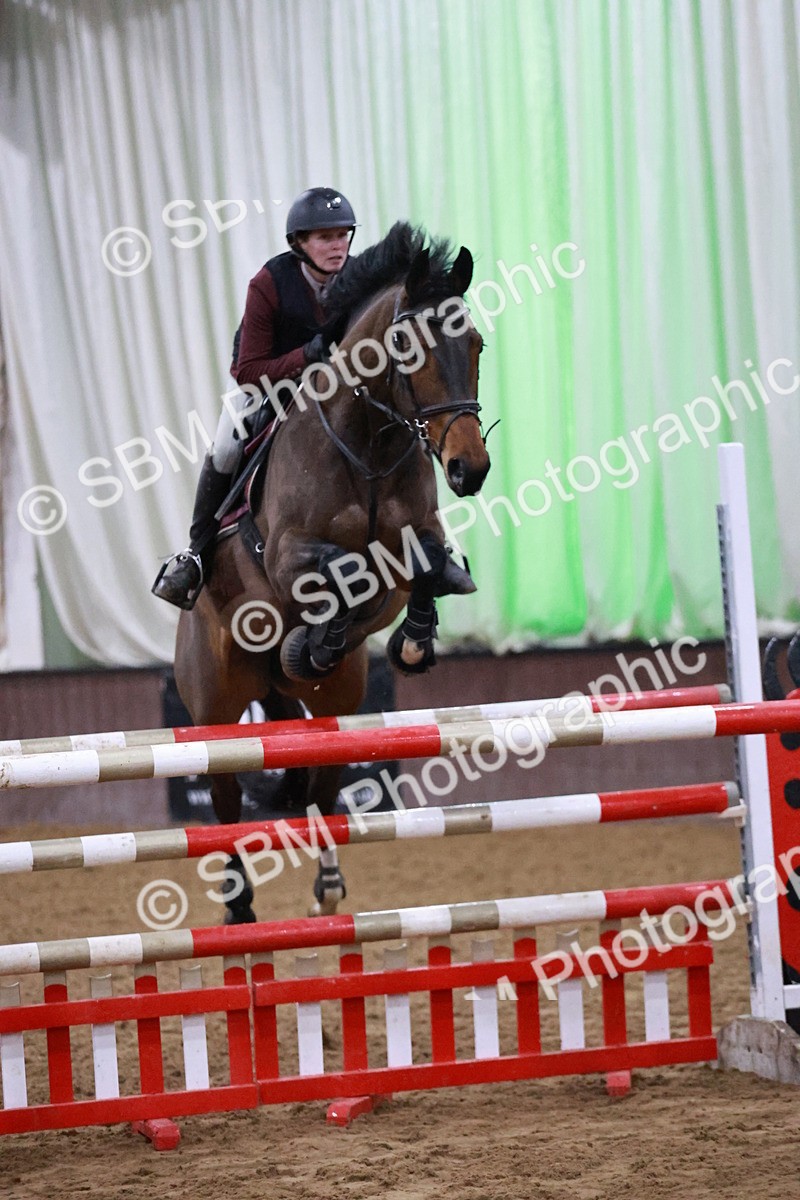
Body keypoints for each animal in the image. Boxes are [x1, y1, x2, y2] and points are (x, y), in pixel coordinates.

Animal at [174, 222, 492, 922]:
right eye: (406, 345)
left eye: (476, 342)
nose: (470, 469)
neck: (368, 441)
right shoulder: (287, 553)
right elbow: (339, 565)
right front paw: (320, 634)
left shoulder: (413, 543)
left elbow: (428, 564)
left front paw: (414, 641)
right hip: (216, 707)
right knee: (226, 802)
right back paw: (239, 906)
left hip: (335, 703)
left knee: (322, 785)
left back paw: (328, 886)